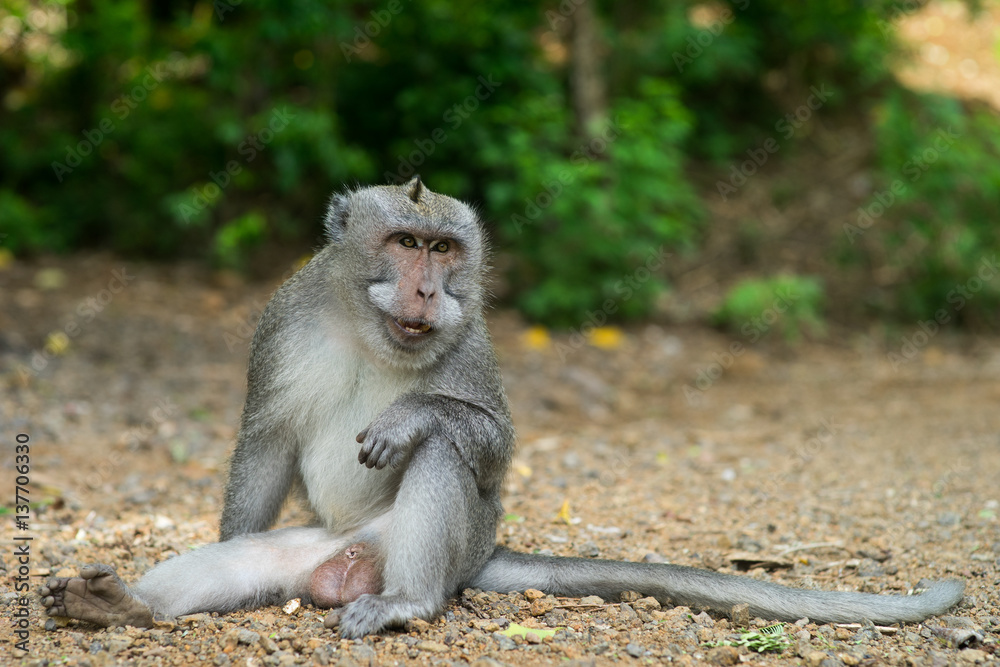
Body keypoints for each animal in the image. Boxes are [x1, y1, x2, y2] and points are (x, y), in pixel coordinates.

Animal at [41, 177, 964, 638]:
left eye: (445, 249)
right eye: (404, 243)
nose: (426, 288)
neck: (372, 331)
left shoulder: (472, 339)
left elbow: (484, 440)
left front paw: (411, 418)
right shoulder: (282, 320)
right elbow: (264, 436)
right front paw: (224, 535)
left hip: (441, 547)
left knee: (444, 460)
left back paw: (407, 601)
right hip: (309, 551)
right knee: (241, 568)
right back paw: (124, 606)